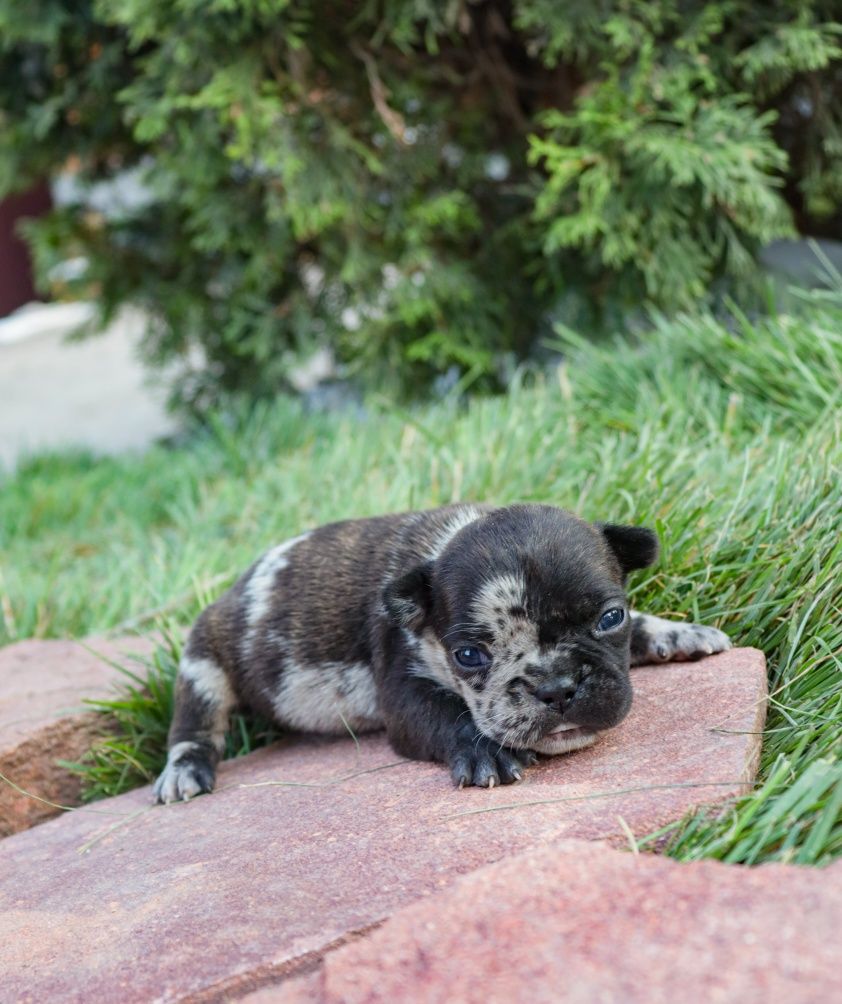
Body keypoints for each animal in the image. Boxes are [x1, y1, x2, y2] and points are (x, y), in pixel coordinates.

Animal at [156, 506, 730, 803]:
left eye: (611, 617)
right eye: (469, 655)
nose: (556, 688)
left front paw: (677, 633)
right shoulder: (402, 691)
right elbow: (444, 712)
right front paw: (484, 751)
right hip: (203, 661)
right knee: (195, 722)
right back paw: (185, 770)